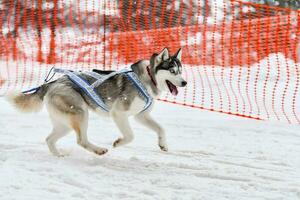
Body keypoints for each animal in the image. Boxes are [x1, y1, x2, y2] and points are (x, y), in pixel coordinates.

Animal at [7, 47, 188, 157]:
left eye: (180, 71)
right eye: (172, 71)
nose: (185, 82)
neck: (148, 78)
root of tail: (51, 83)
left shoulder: (141, 116)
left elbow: (161, 129)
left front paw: (163, 145)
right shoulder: (119, 113)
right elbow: (130, 135)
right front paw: (118, 142)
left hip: (65, 123)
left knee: (49, 139)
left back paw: (59, 156)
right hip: (80, 113)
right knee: (81, 141)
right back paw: (99, 150)